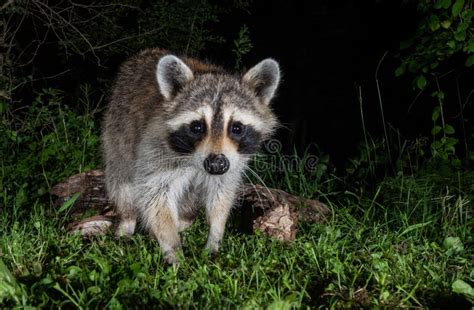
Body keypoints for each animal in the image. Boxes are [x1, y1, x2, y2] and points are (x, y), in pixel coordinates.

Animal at [102, 48, 280, 264]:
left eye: (236, 128)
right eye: (197, 127)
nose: (216, 164)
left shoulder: (233, 162)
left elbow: (222, 193)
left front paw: (215, 234)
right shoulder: (154, 149)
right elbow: (155, 197)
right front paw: (173, 248)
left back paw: (185, 220)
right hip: (117, 129)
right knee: (121, 181)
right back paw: (127, 219)